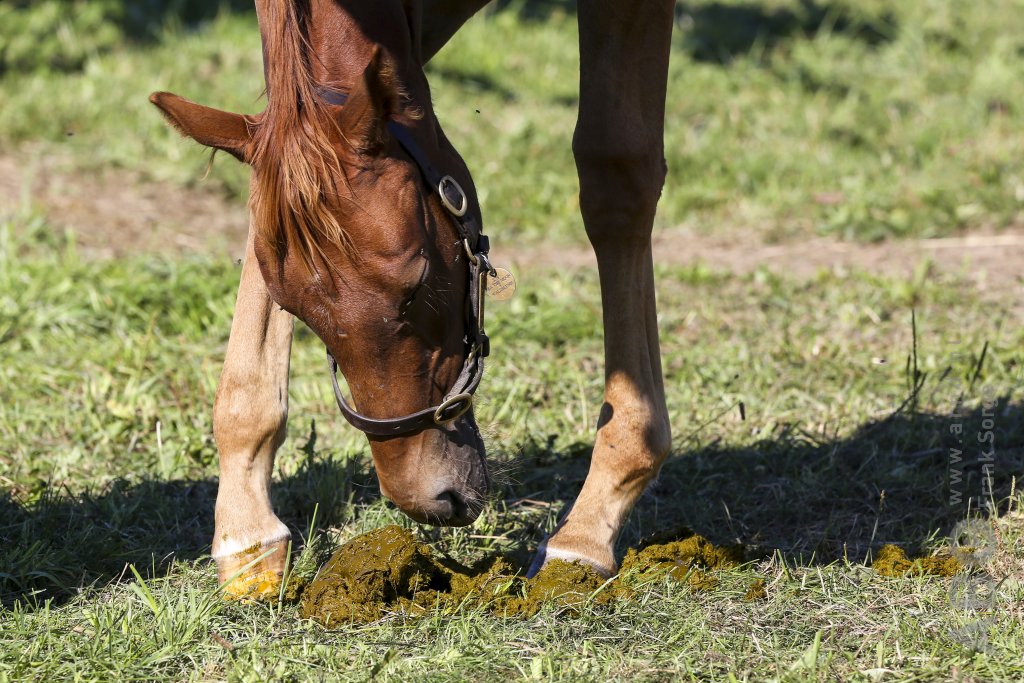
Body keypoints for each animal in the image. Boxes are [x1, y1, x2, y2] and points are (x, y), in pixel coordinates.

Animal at [148, 0, 667, 598]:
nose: (430, 500)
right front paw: (247, 529)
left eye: (416, 288)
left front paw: (587, 528)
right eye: (294, 309)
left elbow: (617, 173)